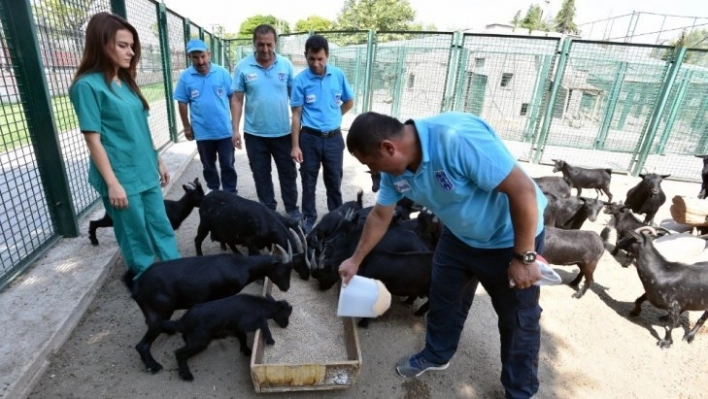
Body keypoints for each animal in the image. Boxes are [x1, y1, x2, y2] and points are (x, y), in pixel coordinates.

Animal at [162, 294, 292, 382]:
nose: (286, 325)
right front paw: (270, 340)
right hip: (199, 341)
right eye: (286, 314)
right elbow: (263, 322)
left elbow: (243, 339)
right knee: (179, 353)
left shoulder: (238, 329)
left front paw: (246, 351)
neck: (257, 306)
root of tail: (181, 322)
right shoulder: (244, 324)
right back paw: (186, 374)